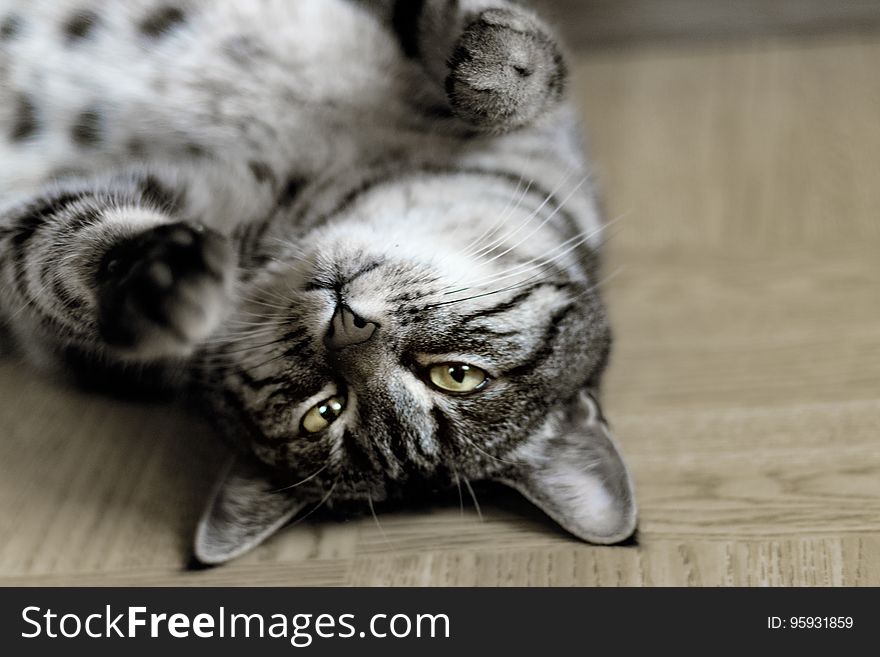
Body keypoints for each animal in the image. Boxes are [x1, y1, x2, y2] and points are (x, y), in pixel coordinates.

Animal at [0, 0, 636, 564]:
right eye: (457, 375)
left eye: (324, 410)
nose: (350, 327)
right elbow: (534, 77)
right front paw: (497, 63)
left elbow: (49, 252)